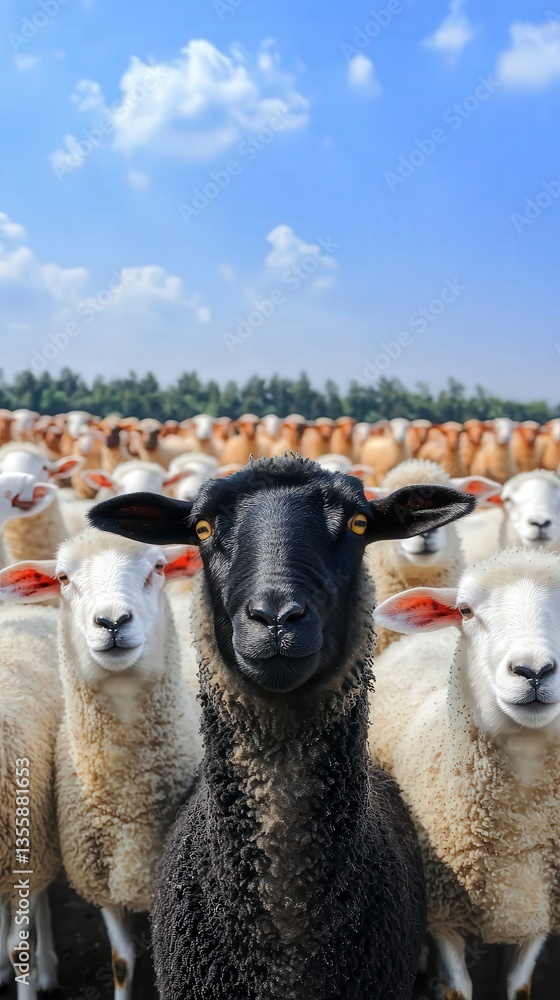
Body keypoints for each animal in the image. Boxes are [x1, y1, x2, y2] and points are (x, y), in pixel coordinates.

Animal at [372, 547, 560, 1000]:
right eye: (465, 610)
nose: (533, 671)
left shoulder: (540, 906)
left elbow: (519, 986)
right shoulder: (444, 915)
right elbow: (458, 989)